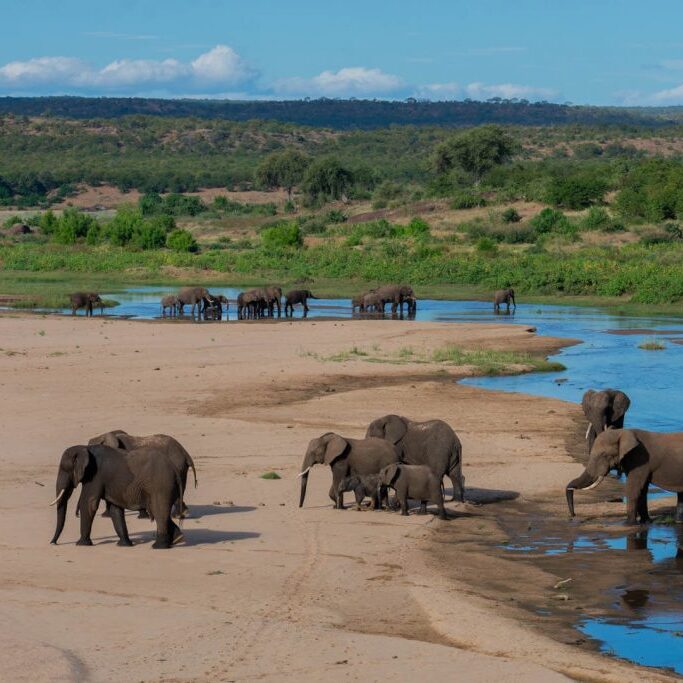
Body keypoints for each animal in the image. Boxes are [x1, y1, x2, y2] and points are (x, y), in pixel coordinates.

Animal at [49, 444, 186, 552]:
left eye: (64, 469)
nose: (53, 543)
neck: (84, 448)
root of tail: (175, 469)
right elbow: (115, 509)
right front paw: (124, 545)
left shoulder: (95, 476)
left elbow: (89, 503)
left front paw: (81, 544)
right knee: (161, 512)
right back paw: (177, 539)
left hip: (161, 486)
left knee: (159, 511)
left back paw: (158, 546)